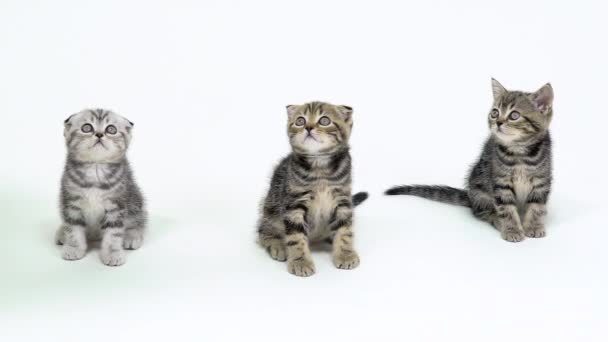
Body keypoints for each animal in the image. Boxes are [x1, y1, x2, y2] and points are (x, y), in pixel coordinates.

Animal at [56, 108, 148, 266]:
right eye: (87, 127)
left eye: (111, 129)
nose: (99, 134)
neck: (95, 166)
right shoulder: (71, 202)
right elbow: (73, 228)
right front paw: (73, 248)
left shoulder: (117, 205)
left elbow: (113, 233)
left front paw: (113, 253)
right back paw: (62, 233)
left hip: (135, 198)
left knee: (138, 220)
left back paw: (132, 236)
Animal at [255, 101, 366, 276]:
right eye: (300, 121)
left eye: (324, 120)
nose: (308, 127)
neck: (319, 166)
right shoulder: (294, 204)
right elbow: (296, 237)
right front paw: (300, 261)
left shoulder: (342, 199)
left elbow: (345, 230)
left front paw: (345, 254)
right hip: (271, 209)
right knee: (263, 230)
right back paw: (278, 246)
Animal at [388, 79, 552, 243]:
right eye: (495, 113)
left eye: (514, 115)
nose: (498, 122)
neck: (519, 152)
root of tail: (471, 197)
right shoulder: (500, 183)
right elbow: (506, 208)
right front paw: (512, 229)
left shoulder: (541, 181)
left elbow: (537, 207)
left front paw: (534, 226)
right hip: (481, 191)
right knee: (482, 212)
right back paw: (498, 221)